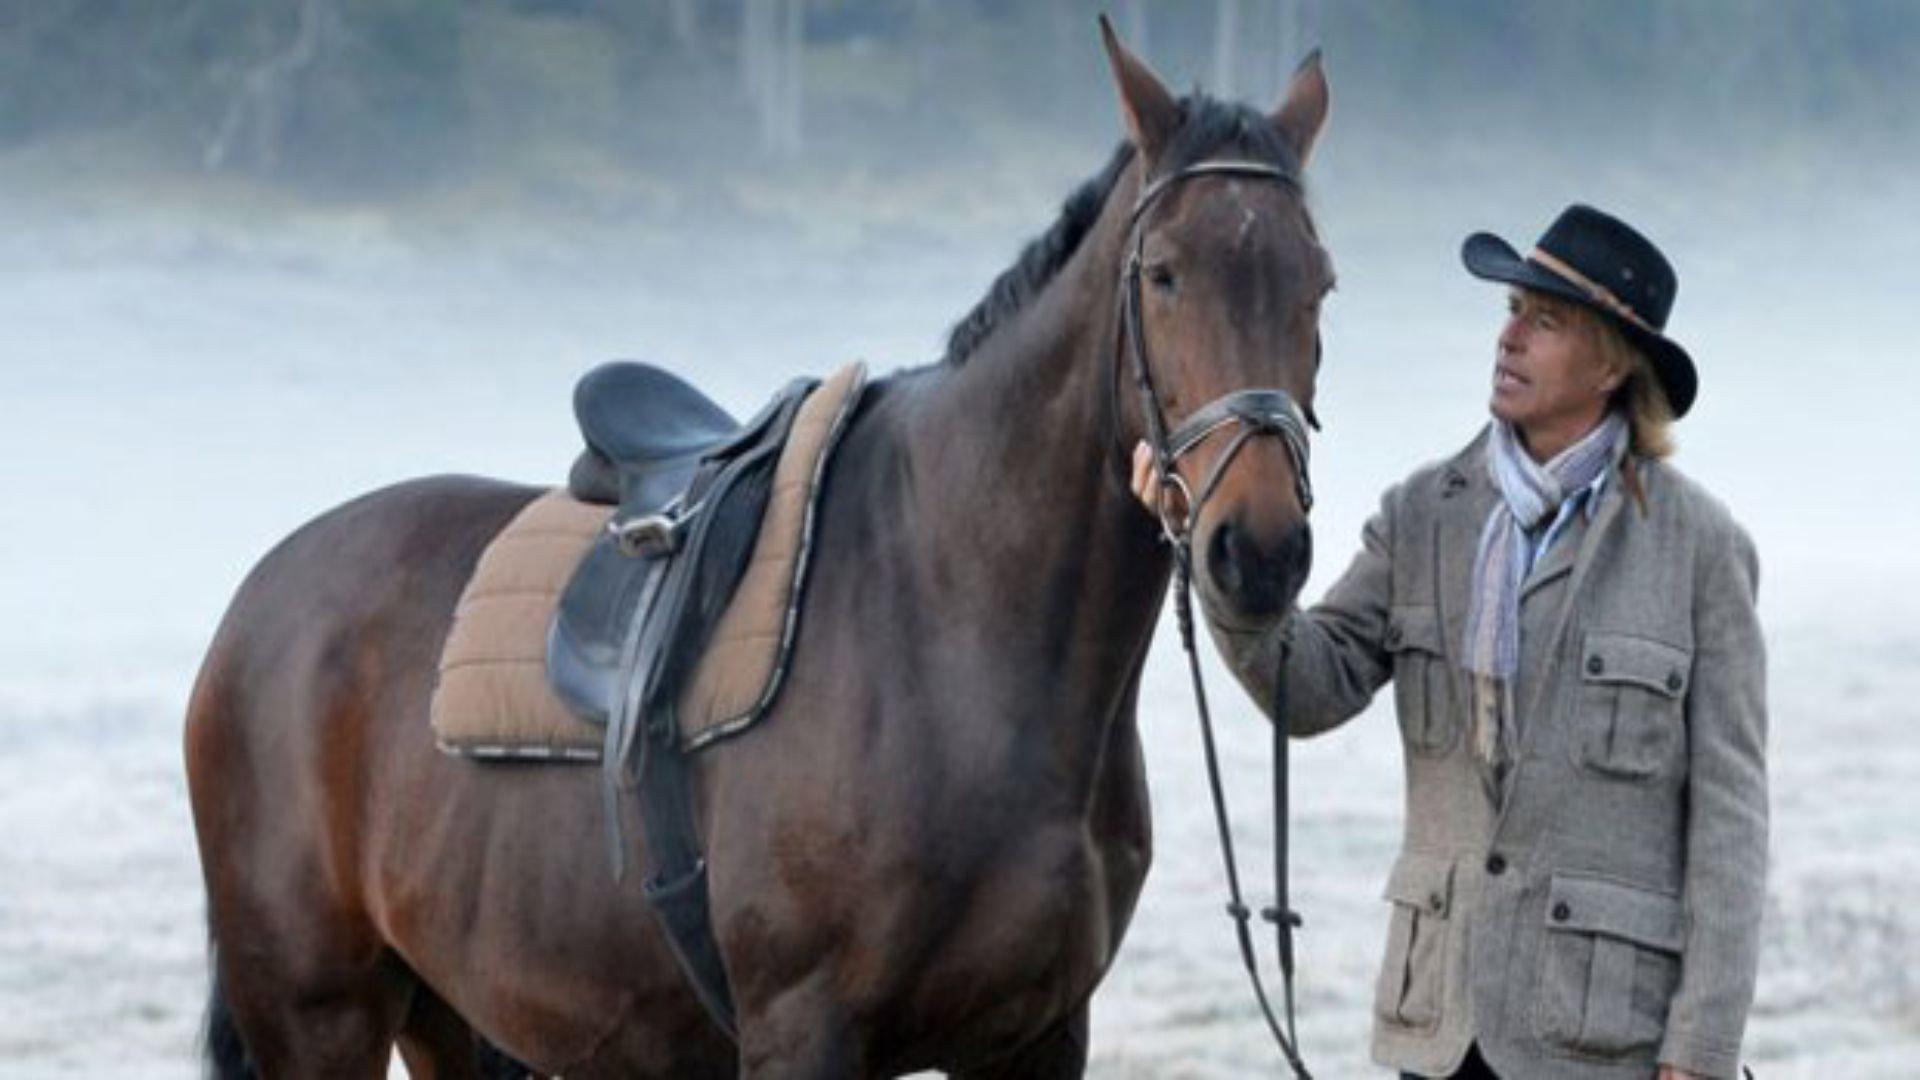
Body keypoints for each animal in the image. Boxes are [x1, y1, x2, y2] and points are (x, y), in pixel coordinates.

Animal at [185, 23, 1333, 1078]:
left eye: (1318, 282)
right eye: (1166, 275)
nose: (1260, 551)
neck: (956, 632)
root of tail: (261, 600)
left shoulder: (1039, 1037)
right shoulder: (803, 1029)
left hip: (450, 1012)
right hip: (318, 1016)